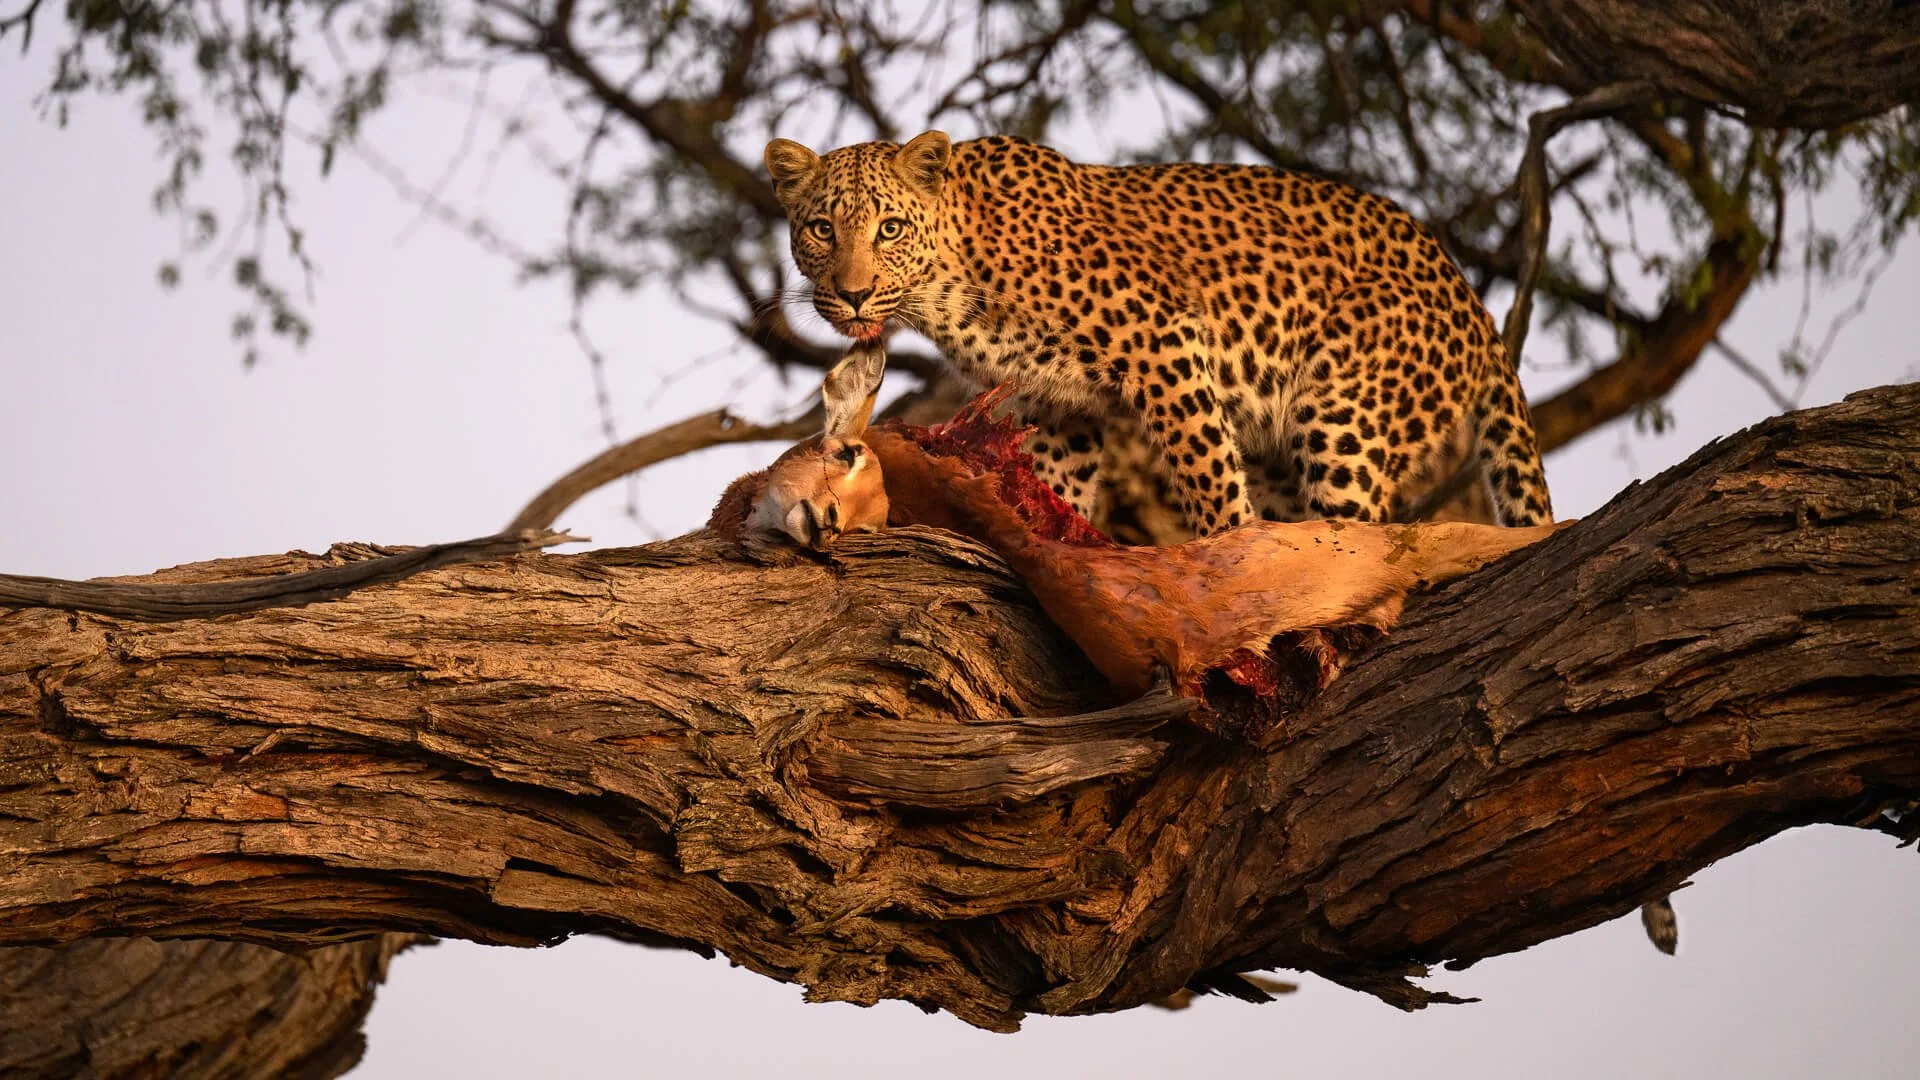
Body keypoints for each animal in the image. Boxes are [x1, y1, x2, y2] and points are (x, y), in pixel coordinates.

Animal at [763, 129, 1553, 537]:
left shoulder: (1164, 341)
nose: (852, 294)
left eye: (890, 229)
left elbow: (1207, 474)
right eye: (822, 229)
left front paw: (1231, 560)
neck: (948, 288)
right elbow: (1054, 481)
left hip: (1344, 415)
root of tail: (1474, 303)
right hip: (1283, 447)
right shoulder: (1059, 404)